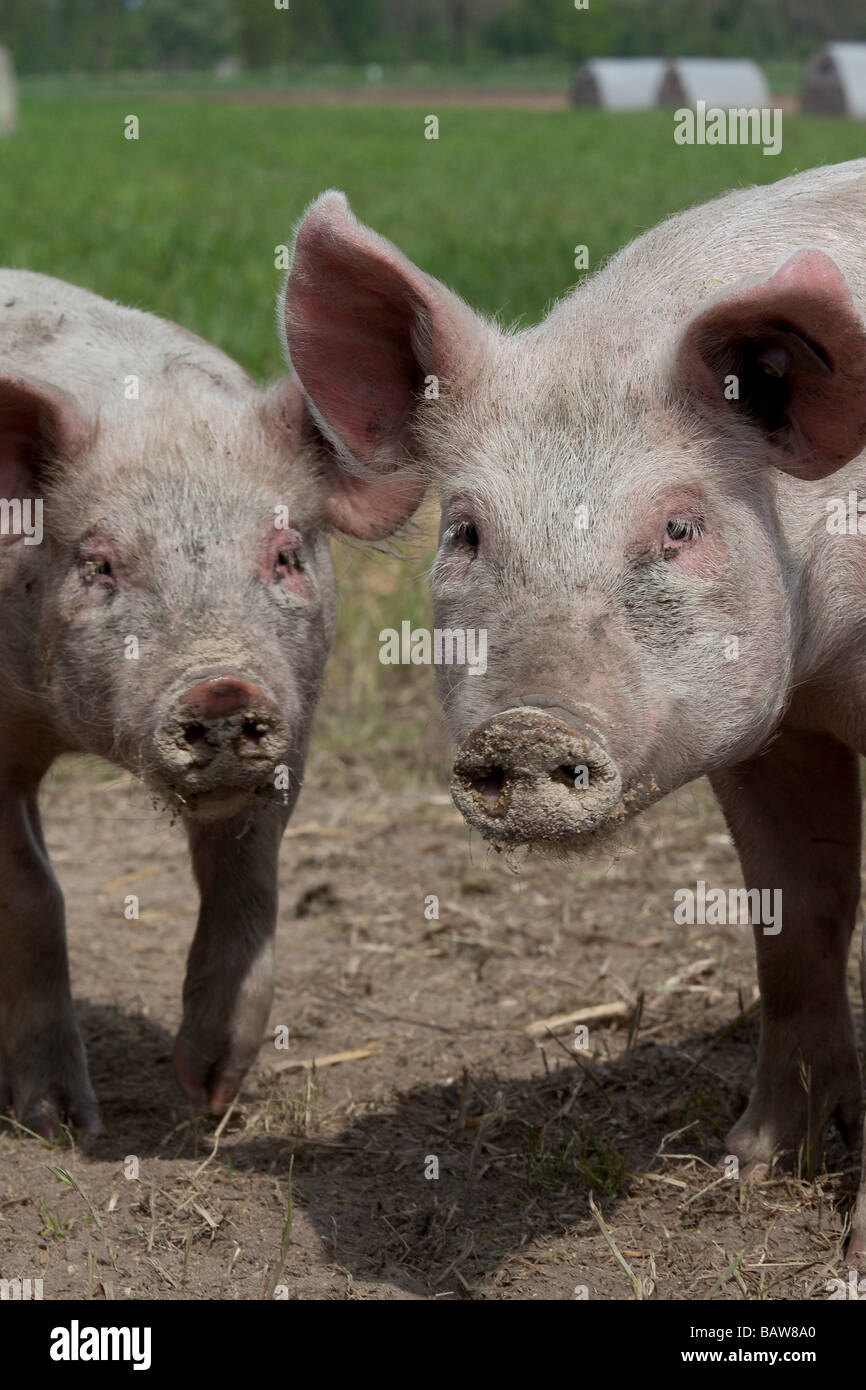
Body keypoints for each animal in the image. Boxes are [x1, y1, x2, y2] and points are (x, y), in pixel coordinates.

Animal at [0, 265, 422, 1134]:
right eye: (97, 564)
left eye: (286, 554)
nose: (222, 685)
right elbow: (30, 889)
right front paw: (62, 1122)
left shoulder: (298, 722)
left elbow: (246, 876)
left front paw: (209, 1088)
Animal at [286, 157, 866, 1189]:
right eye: (466, 532)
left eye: (680, 527)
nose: (527, 727)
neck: (829, 665)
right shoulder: (774, 730)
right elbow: (799, 914)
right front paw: (754, 1161)